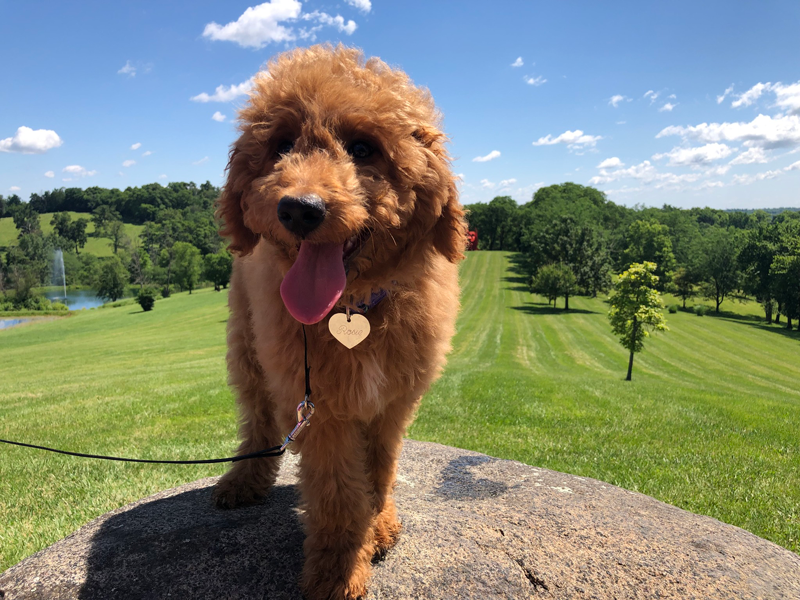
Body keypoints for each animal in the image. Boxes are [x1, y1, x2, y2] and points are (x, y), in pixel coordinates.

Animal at [212, 44, 466, 596]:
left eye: (364, 148)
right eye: (283, 145)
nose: (299, 209)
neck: (351, 307)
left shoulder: (392, 400)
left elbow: (379, 469)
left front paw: (379, 523)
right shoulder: (321, 408)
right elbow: (337, 493)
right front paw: (337, 570)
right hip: (246, 344)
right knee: (258, 415)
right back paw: (243, 480)